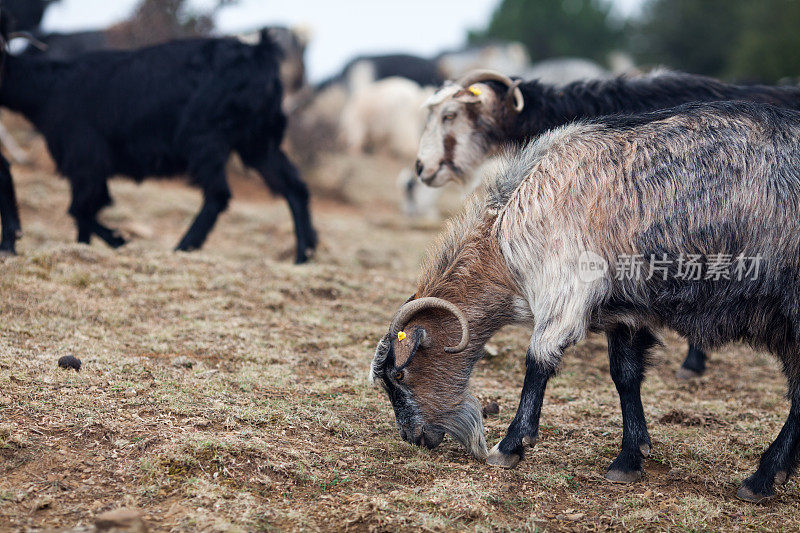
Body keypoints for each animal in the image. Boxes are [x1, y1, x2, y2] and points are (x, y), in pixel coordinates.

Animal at [0, 28, 318, 262]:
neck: (51, 87)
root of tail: (259, 53)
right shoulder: (84, 168)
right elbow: (83, 213)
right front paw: (85, 248)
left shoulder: (86, 160)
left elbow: (80, 209)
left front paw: (118, 241)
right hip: (258, 142)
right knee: (294, 187)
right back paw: (303, 256)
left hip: (206, 138)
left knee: (218, 195)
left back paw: (182, 247)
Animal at [374, 101, 800, 502]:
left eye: (399, 375)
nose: (412, 436)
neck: (504, 233)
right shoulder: (625, 312)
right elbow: (625, 375)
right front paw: (629, 459)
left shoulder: (566, 290)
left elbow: (538, 360)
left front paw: (509, 447)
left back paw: (761, 478)